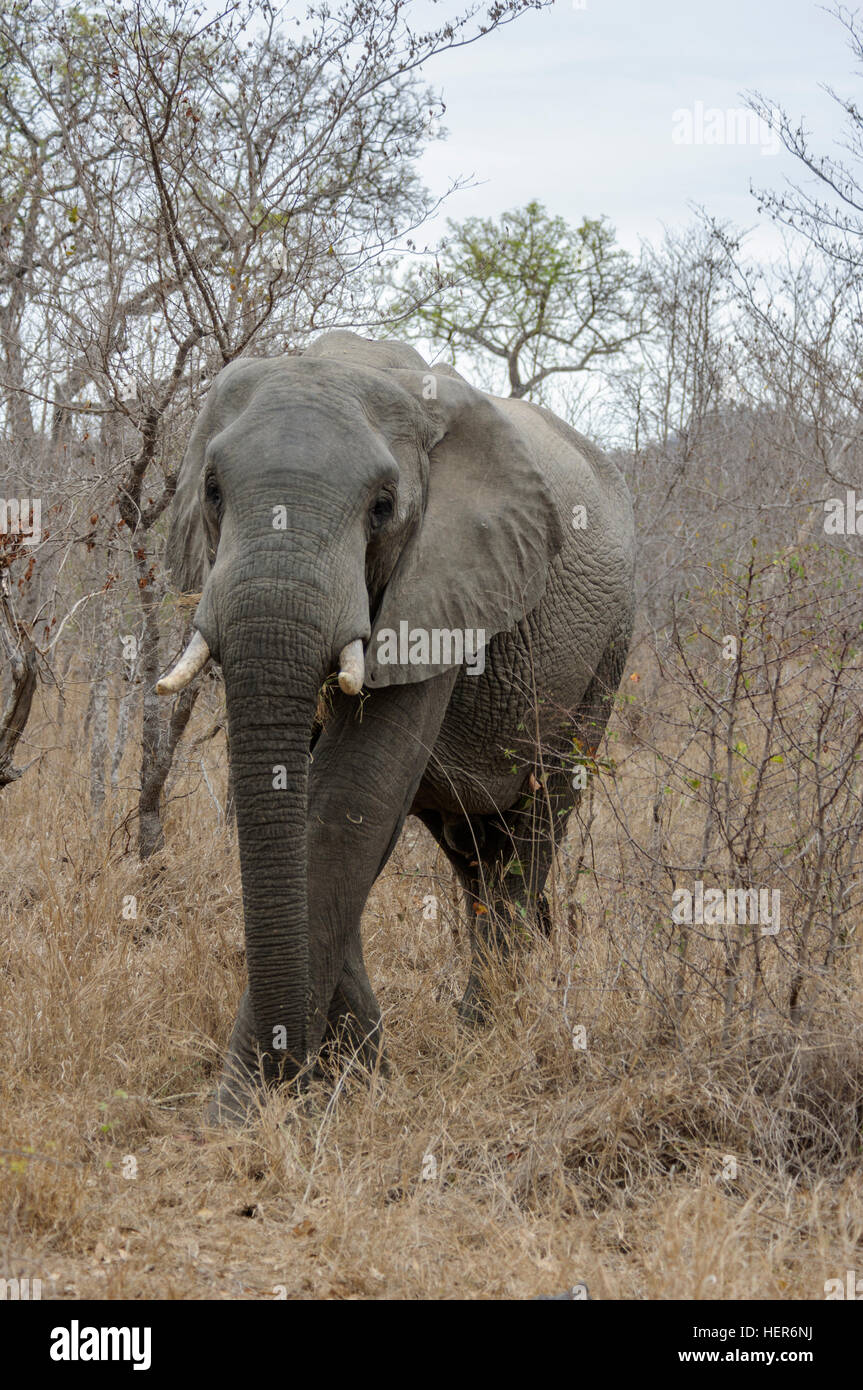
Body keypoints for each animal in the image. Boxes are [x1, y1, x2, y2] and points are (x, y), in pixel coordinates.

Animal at [159, 330, 633, 1123]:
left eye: (382, 506)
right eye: (214, 490)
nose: (291, 1079)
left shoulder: (445, 581)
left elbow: (350, 799)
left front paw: (244, 1113)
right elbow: (321, 806)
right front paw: (355, 1073)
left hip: (607, 652)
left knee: (534, 826)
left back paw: (486, 1029)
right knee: (474, 851)